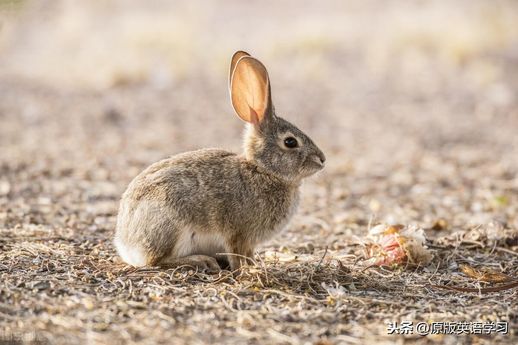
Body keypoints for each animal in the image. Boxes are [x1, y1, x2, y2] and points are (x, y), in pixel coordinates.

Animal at [114, 51, 328, 272]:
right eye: (290, 142)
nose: (322, 159)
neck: (263, 170)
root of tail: (126, 244)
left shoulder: (248, 241)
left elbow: (249, 254)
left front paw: (254, 264)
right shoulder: (238, 234)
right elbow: (237, 254)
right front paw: (246, 269)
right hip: (170, 227)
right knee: (156, 260)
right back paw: (200, 260)